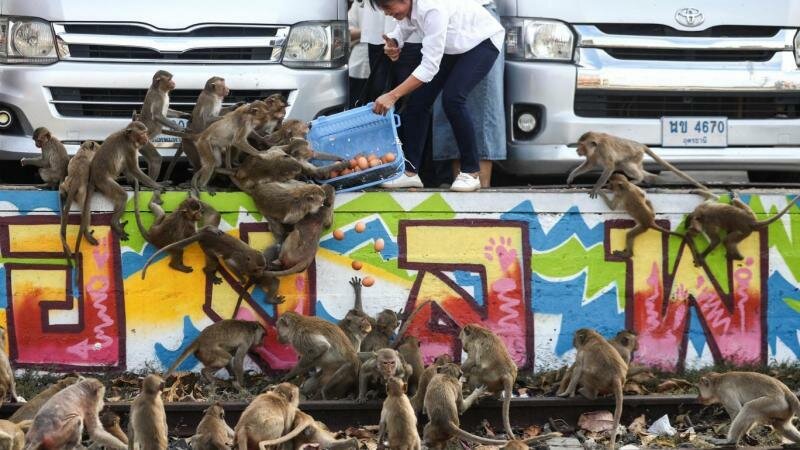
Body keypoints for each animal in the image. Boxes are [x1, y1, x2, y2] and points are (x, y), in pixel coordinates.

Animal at [564, 132, 716, 199]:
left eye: (581, 145)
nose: (577, 150)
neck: (596, 147)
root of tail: (641, 145)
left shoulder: (603, 150)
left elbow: (609, 167)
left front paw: (596, 187)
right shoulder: (594, 155)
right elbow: (589, 165)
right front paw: (572, 175)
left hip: (635, 155)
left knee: (625, 164)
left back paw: (638, 179)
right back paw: (649, 179)